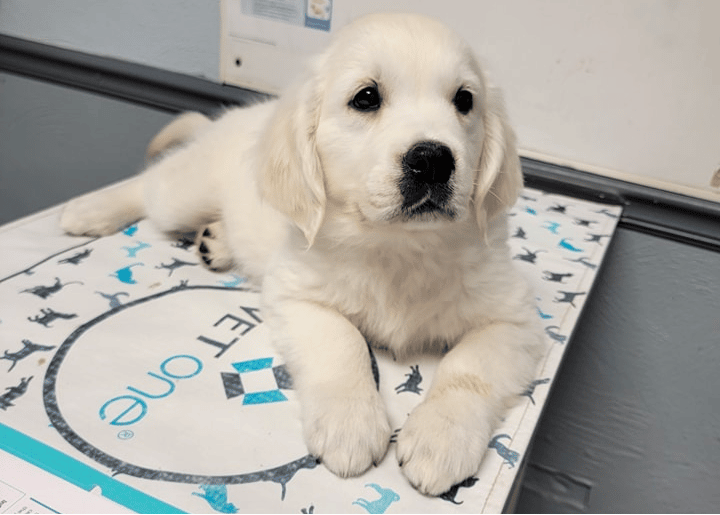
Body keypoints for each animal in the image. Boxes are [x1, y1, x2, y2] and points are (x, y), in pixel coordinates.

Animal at [62, 12, 544, 496]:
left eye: (464, 100)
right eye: (366, 97)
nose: (432, 159)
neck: (400, 246)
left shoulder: (515, 317)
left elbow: (469, 368)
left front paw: (440, 438)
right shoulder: (295, 293)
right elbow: (342, 341)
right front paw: (350, 425)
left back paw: (216, 240)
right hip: (183, 194)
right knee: (148, 184)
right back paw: (89, 211)